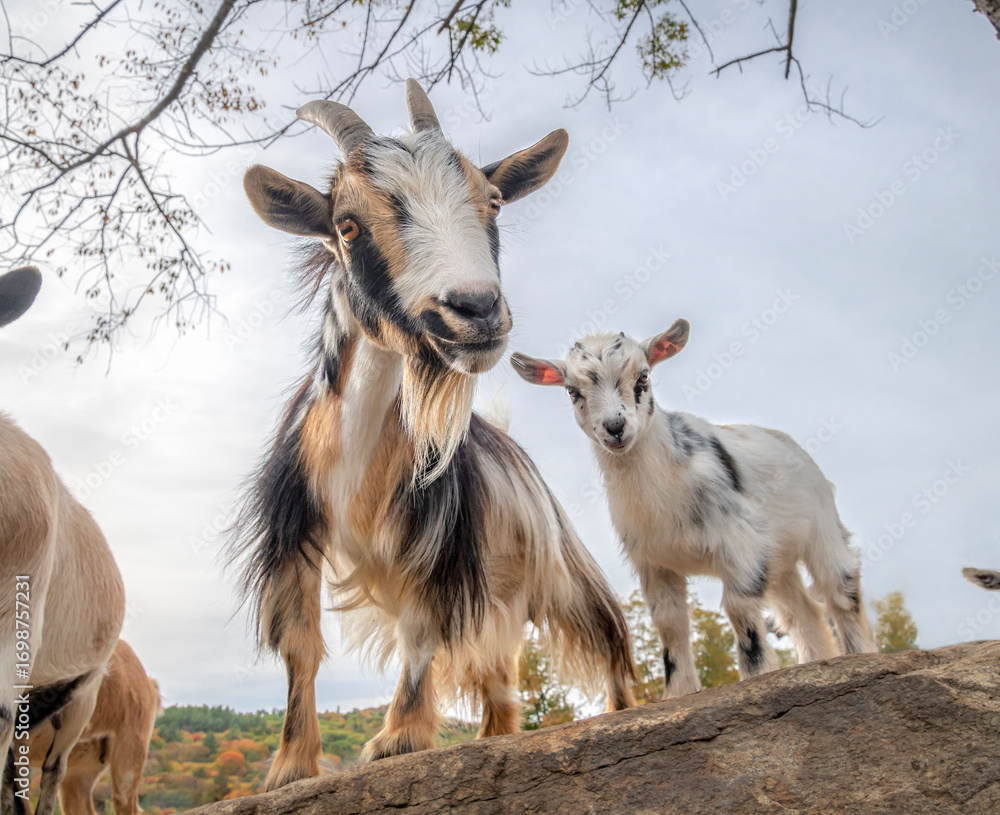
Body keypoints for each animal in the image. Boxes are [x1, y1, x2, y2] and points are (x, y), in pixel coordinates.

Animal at [230, 80, 636, 790]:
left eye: (492, 200)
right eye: (347, 224)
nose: (474, 311)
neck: (358, 457)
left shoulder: (439, 538)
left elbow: (420, 633)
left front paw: (397, 738)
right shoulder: (295, 529)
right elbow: (300, 644)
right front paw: (290, 766)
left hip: (557, 566)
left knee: (605, 628)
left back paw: (625, 707)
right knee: (500, 684)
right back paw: (493, 736)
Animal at [512, 320, 875, 698]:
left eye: (643, 377)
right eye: (572, 391)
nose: (615, 427)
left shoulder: (741, 545)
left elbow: (740, 611)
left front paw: (757, 676)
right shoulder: (653, 563)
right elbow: (670, 624)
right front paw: (679, 692)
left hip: (822, 527)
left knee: (841, 590)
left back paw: (857, 654)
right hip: (779, 559)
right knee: (803, 613)